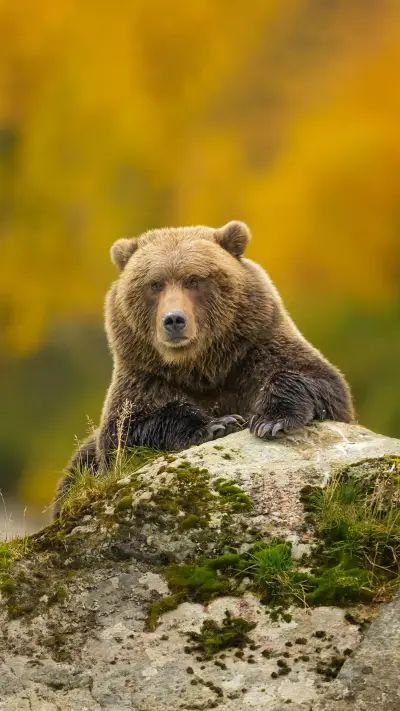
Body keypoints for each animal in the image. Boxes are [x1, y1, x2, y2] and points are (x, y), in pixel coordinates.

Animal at [55, 221, 354, 514]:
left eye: (194, 280)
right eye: (155, 284)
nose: (174, 320)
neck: (202, 367)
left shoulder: (255, 351)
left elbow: (319, 382)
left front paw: (270, 420)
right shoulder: (147, 377)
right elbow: (124, 433)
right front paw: (217, 424)